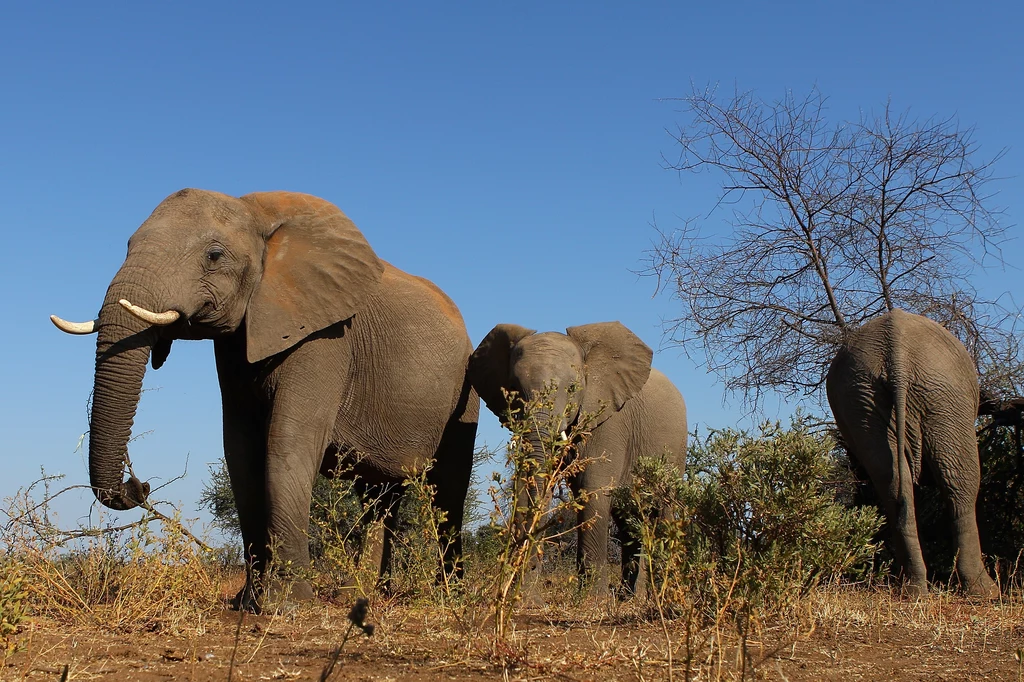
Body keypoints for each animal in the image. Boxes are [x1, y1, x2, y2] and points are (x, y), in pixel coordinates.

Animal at [48, 188, 479, 606]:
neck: (257, 216)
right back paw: (361, 597)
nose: (139, 486)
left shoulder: (325, 336)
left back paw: (447, 599)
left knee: (447, 492)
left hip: (464, 393)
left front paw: (288, 604)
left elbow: (286, 443)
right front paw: (247, 602)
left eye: (214, 255)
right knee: (379, 497)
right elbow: (240, 450)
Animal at [468, 319, 688, 589]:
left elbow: (591, 490)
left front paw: (592, 597)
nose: (530, 571)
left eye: (573, 389)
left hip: (675, 450)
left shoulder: (609, 423)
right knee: (628, 521)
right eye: (514, 389)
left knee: (662, 511)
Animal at [823, 307, 999, 593]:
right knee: (961, 479)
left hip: (861, 397)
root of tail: (897, 354)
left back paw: (912, 587)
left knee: (892, 480)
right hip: (945, 392)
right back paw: (985, 592)